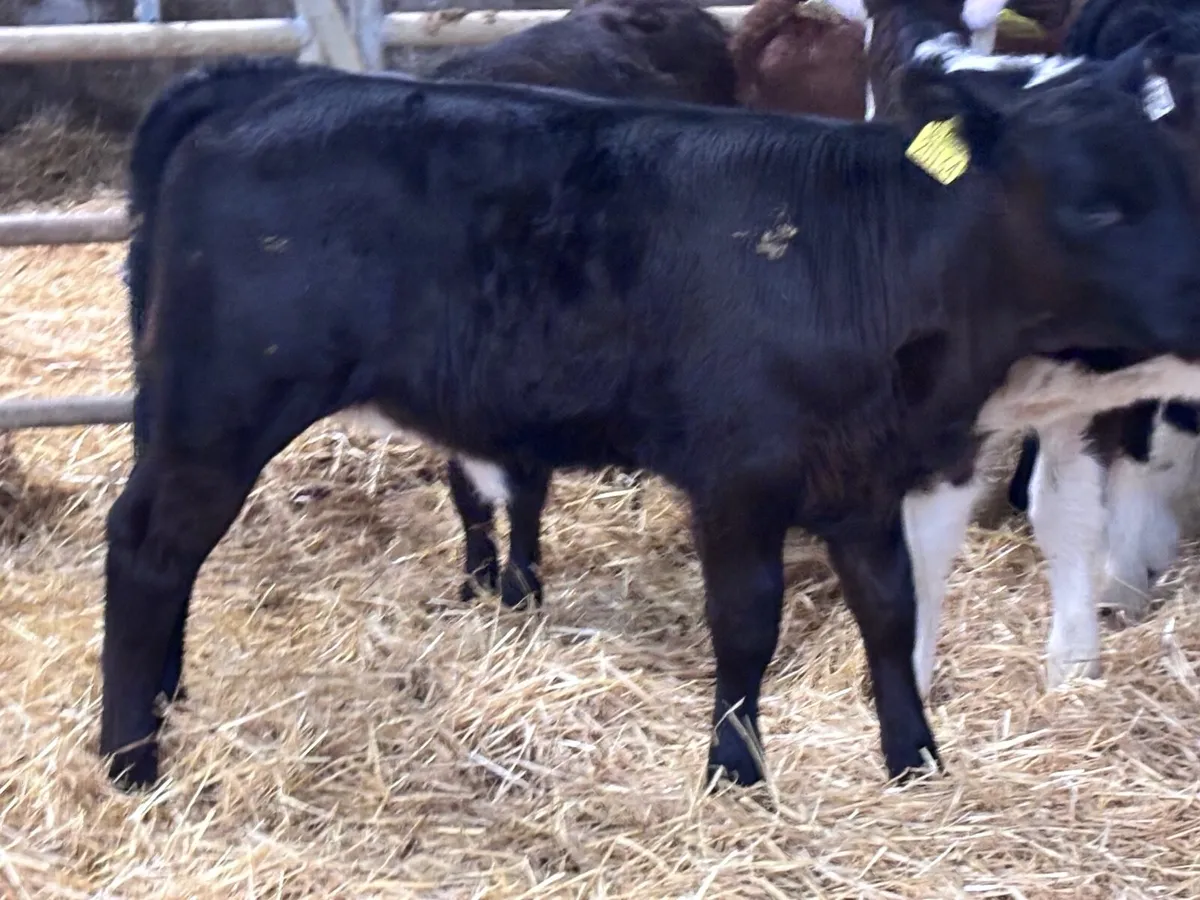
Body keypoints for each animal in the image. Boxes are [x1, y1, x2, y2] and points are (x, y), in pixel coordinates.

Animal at [101, 47, 1200, 794]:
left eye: (1178, 179)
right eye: (1095, 208)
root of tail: (261, 84)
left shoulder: (864, 474)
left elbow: (888, 613)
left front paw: (913, 760)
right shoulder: (739, 477)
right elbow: (746, 623)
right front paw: (735, 772)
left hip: (180, 405)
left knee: (168, 551)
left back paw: (164, 703)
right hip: (225, 405)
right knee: (148, 548)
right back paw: (129, 758)